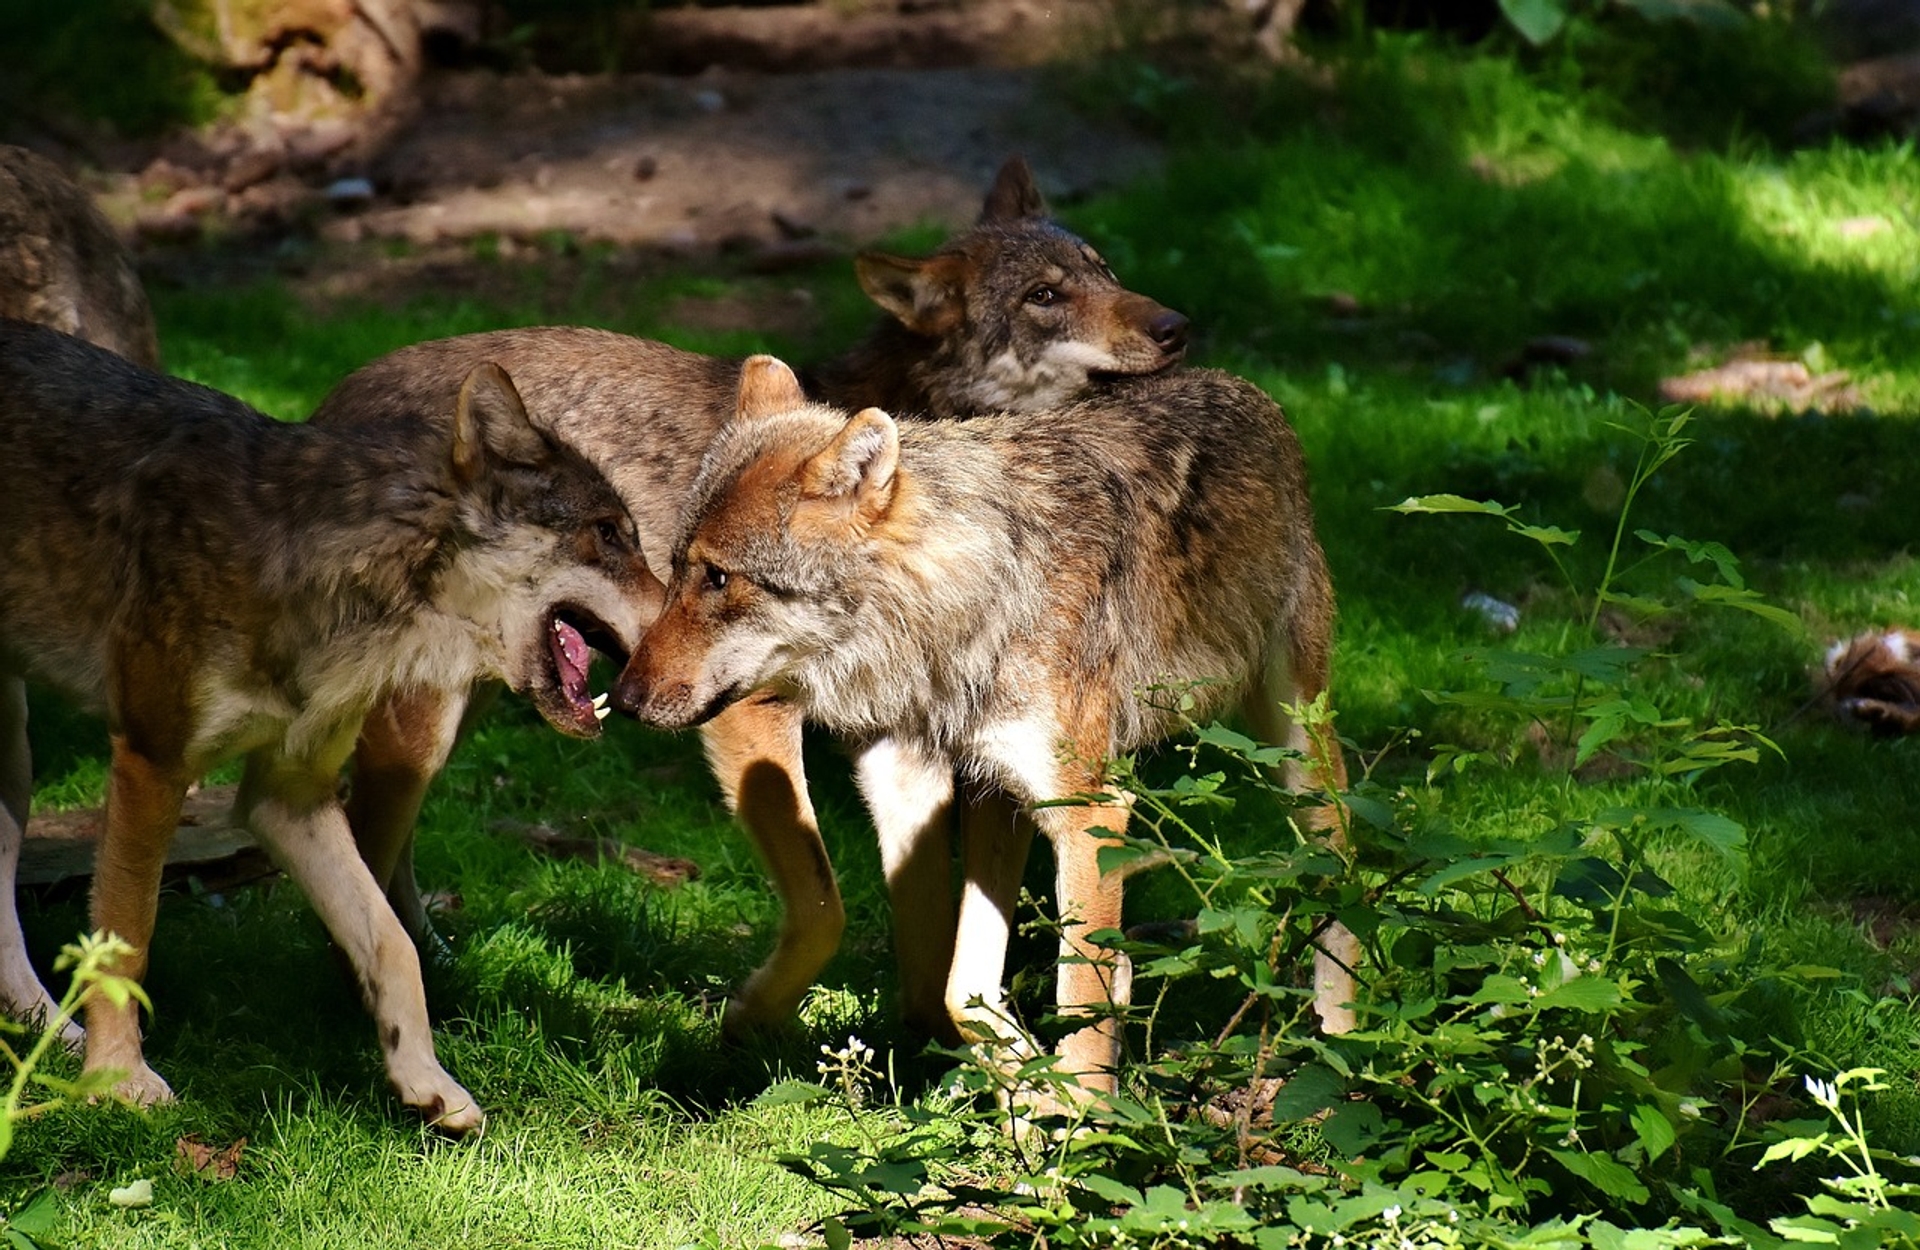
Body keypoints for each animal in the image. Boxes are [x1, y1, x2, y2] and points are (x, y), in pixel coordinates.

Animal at [0, 322, 660, 1136]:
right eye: (608, 535)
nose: (694, 613)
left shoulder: (290, 796)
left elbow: (393, 943)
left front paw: (427, 1082)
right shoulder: (152, 762)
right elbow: (129, 945)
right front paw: (120, 1081)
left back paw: (55, 1037)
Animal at [305, 161, 1190, 1052]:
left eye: (1104, 269)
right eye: (1044, 296)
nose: (1178, 326)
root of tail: (324, 408)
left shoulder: (907, 746)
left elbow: (928, 928)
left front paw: (926, 1044)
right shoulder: (746, 714)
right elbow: (827, 910)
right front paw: (750, 1022)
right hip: (427, 724)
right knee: (364, 840)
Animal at [614, 355, 1351, 1098]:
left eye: (717, 578)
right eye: (674, 568)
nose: (623, 698)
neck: (966, 606)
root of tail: (1244, 387)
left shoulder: (1089, 813)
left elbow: (1078, 1004)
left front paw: (1081, 1120)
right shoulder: (920, 780)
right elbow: (954, 985)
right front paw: (1028, 1086)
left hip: (1294, 753)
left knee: (1341, 871)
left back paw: (1345, 1046)